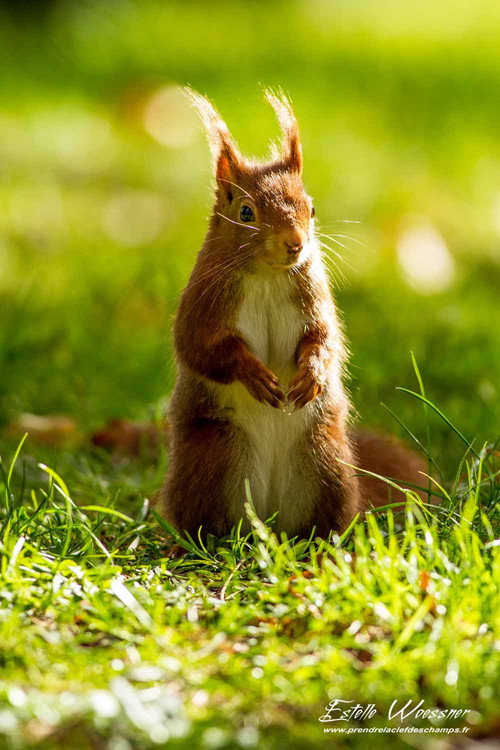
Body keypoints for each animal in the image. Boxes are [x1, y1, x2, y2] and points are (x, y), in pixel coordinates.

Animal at [158, 89, 424, 539]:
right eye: (246, 212)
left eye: (311, 209)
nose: (295, 243)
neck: (267, 275)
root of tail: (271, 517)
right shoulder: (204, 303)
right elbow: (201, 348)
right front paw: (253, 373)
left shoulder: (313, 297)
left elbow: (324, 339)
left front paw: (312, 374)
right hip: (217, 457)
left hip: (323, 462)